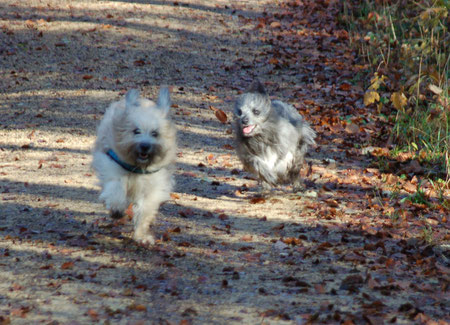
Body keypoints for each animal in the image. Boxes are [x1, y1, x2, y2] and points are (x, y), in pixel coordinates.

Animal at [92, 87, 176, 244]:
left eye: (155, 133)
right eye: (136, 131)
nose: (145, 146)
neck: (137, 166)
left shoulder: (152, 185)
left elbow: (145, 210)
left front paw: (141, 236)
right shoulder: (112, 167)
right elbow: (116, 188)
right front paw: (116, 209)